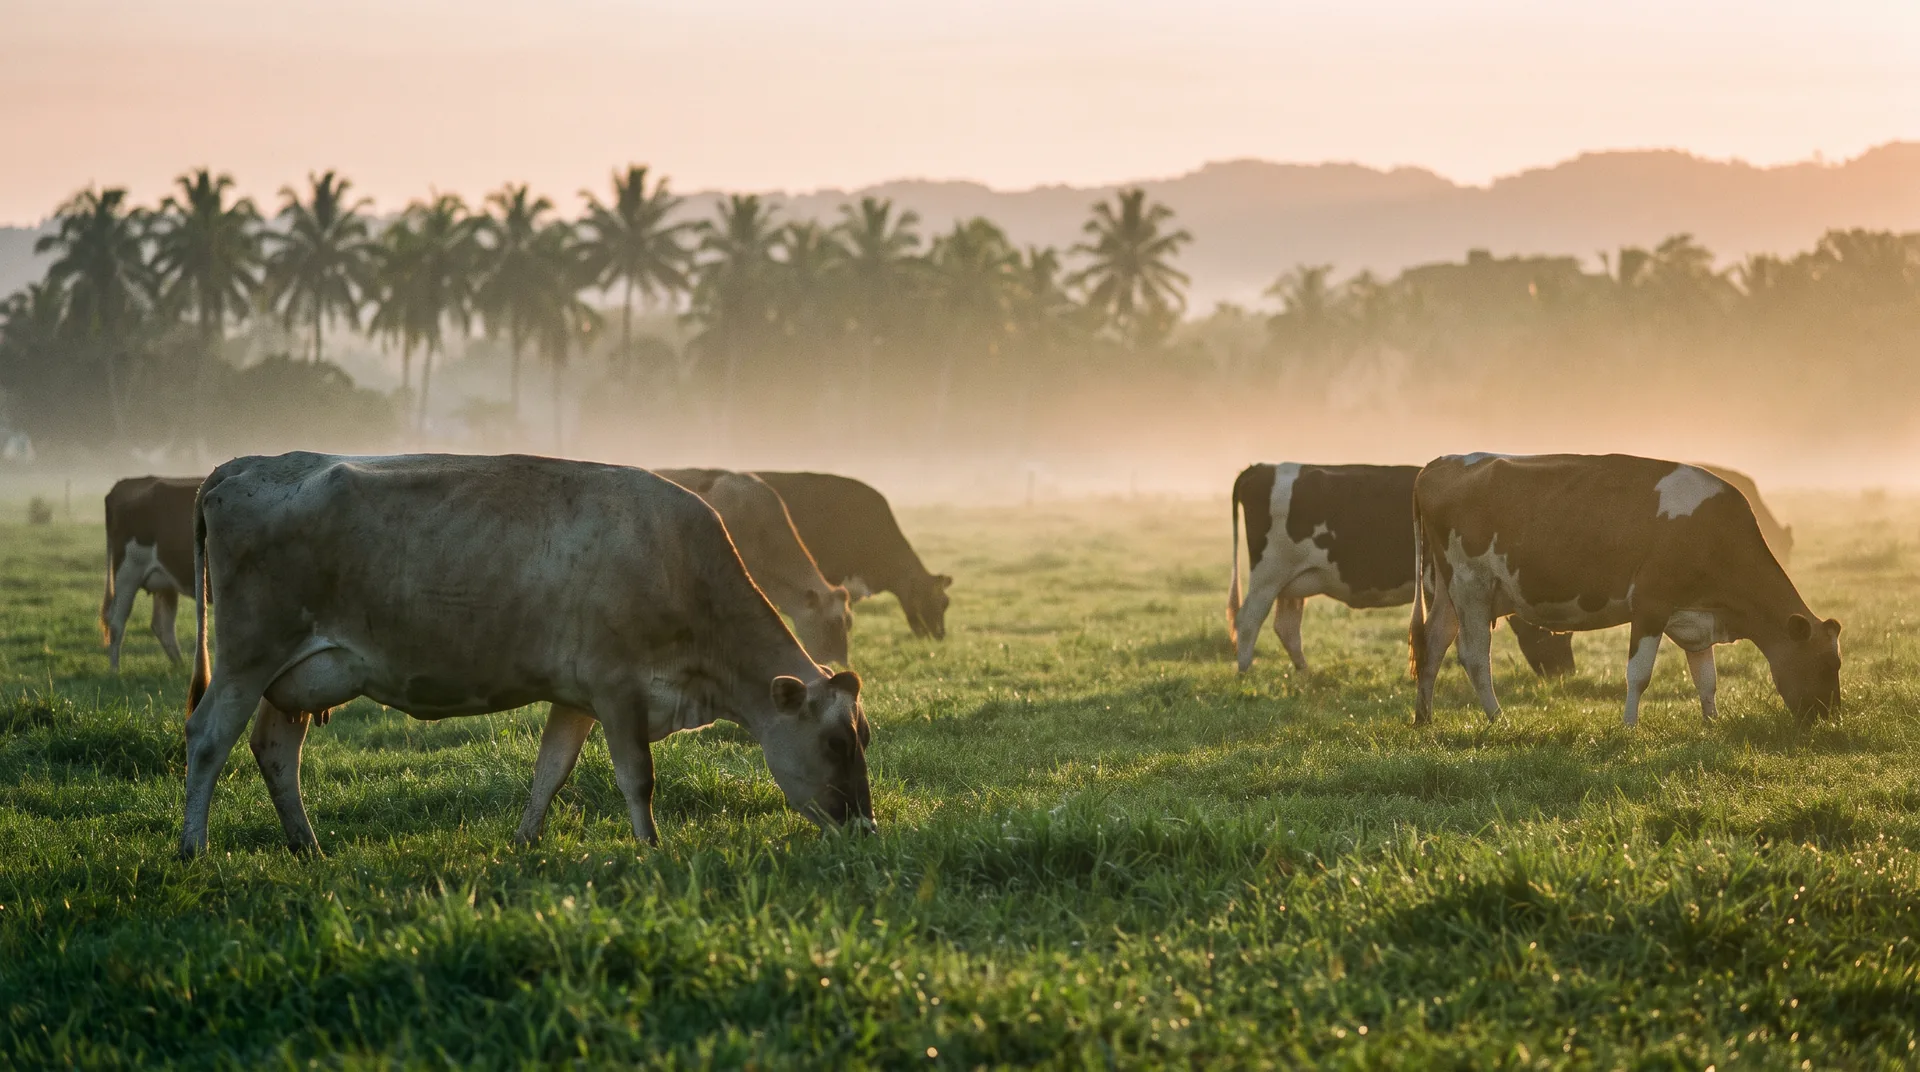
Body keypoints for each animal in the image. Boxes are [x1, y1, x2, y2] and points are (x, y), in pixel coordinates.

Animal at [100, 475, 202, 671]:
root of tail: (127, 483)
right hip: (127, 572)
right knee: (116, 621)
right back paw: (115, 671)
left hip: (165, 580)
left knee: (163, 626)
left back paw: (181, 667)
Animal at [1229, 463, 1574, 676]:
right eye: (1555, 630)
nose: (1565, 673)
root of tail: (1261, 468)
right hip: (1268, 574)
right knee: (1248, 620)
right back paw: (1245, 671)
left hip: (1293, 582)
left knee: (1286, 627)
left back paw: (1304, 673)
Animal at [1410, 453, 1841, 726]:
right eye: (1826, 665)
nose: (1830, 718)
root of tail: (1441, 462)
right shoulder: (1651, 605)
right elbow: (1639, 674)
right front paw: (1629, 726)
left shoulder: (1697, 618)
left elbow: (1706, 678)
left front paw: (1712, 722)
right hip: (1472, 586)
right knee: (1475, 657)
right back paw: (1498, 719)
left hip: (1449, 593)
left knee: (1432, 645)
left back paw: (1424, 718)